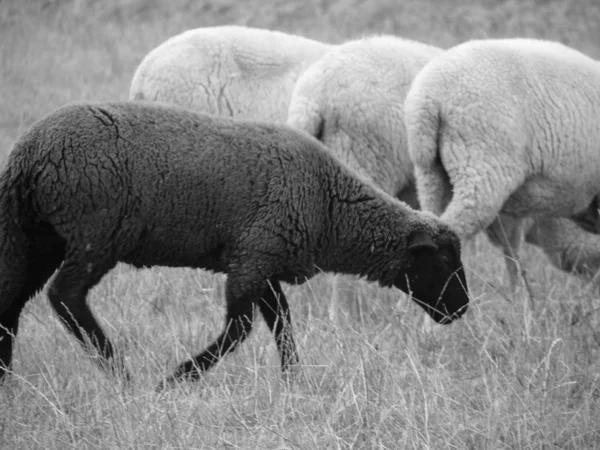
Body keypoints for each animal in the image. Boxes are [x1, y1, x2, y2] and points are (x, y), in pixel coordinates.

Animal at [0, 100, 472, 384]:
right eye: (443, 260)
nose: (463, 309)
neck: (329, 204)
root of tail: (30, 153)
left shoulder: (265, 262)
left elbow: (282, 324)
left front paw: (293, 382)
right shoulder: (252, 259)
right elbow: (240, 329)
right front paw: (178, 378)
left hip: (36, 237)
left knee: (12, 302)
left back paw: (8, 377)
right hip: (93, 234)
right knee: (65, 296)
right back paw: (121, 375)